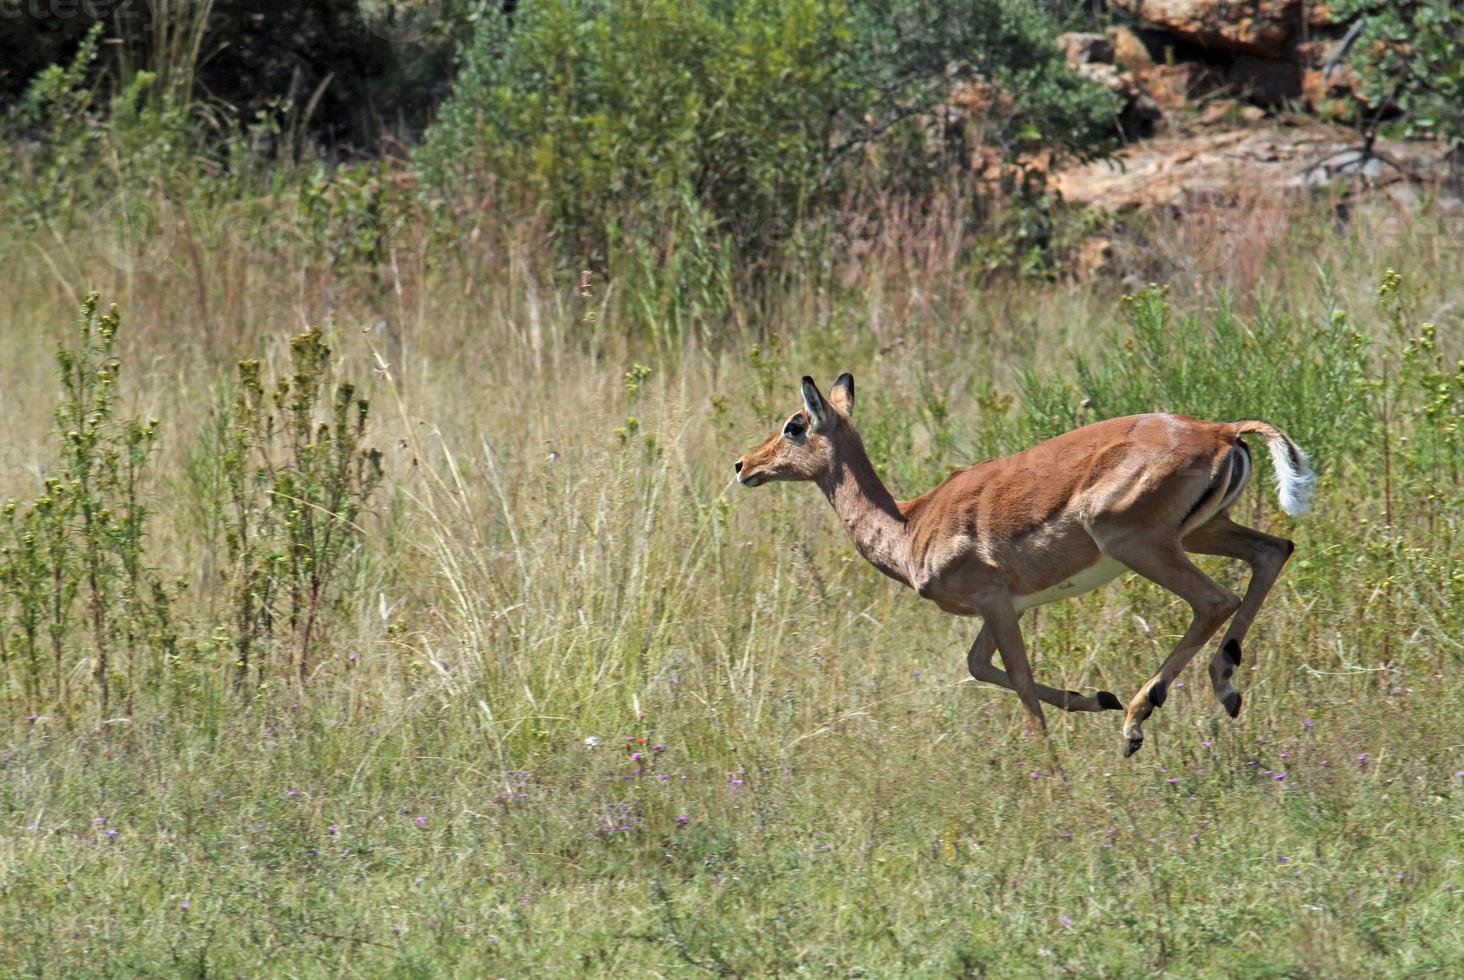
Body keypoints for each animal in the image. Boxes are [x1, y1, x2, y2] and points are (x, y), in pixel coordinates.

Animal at [732, 375, 1317, 755]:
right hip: (1201, 533)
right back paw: (1221, 690)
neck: (910, 525)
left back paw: (1136, 722)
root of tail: (1223, 431)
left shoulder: (992, 599)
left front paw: (1050, 771)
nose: (742, 465)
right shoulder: (1002, 607)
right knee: (1273, 551)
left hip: (1139, 543)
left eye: (794, 424)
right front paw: (1095, 697)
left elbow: (1016, 673)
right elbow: (980, 665)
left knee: (1216, 599)